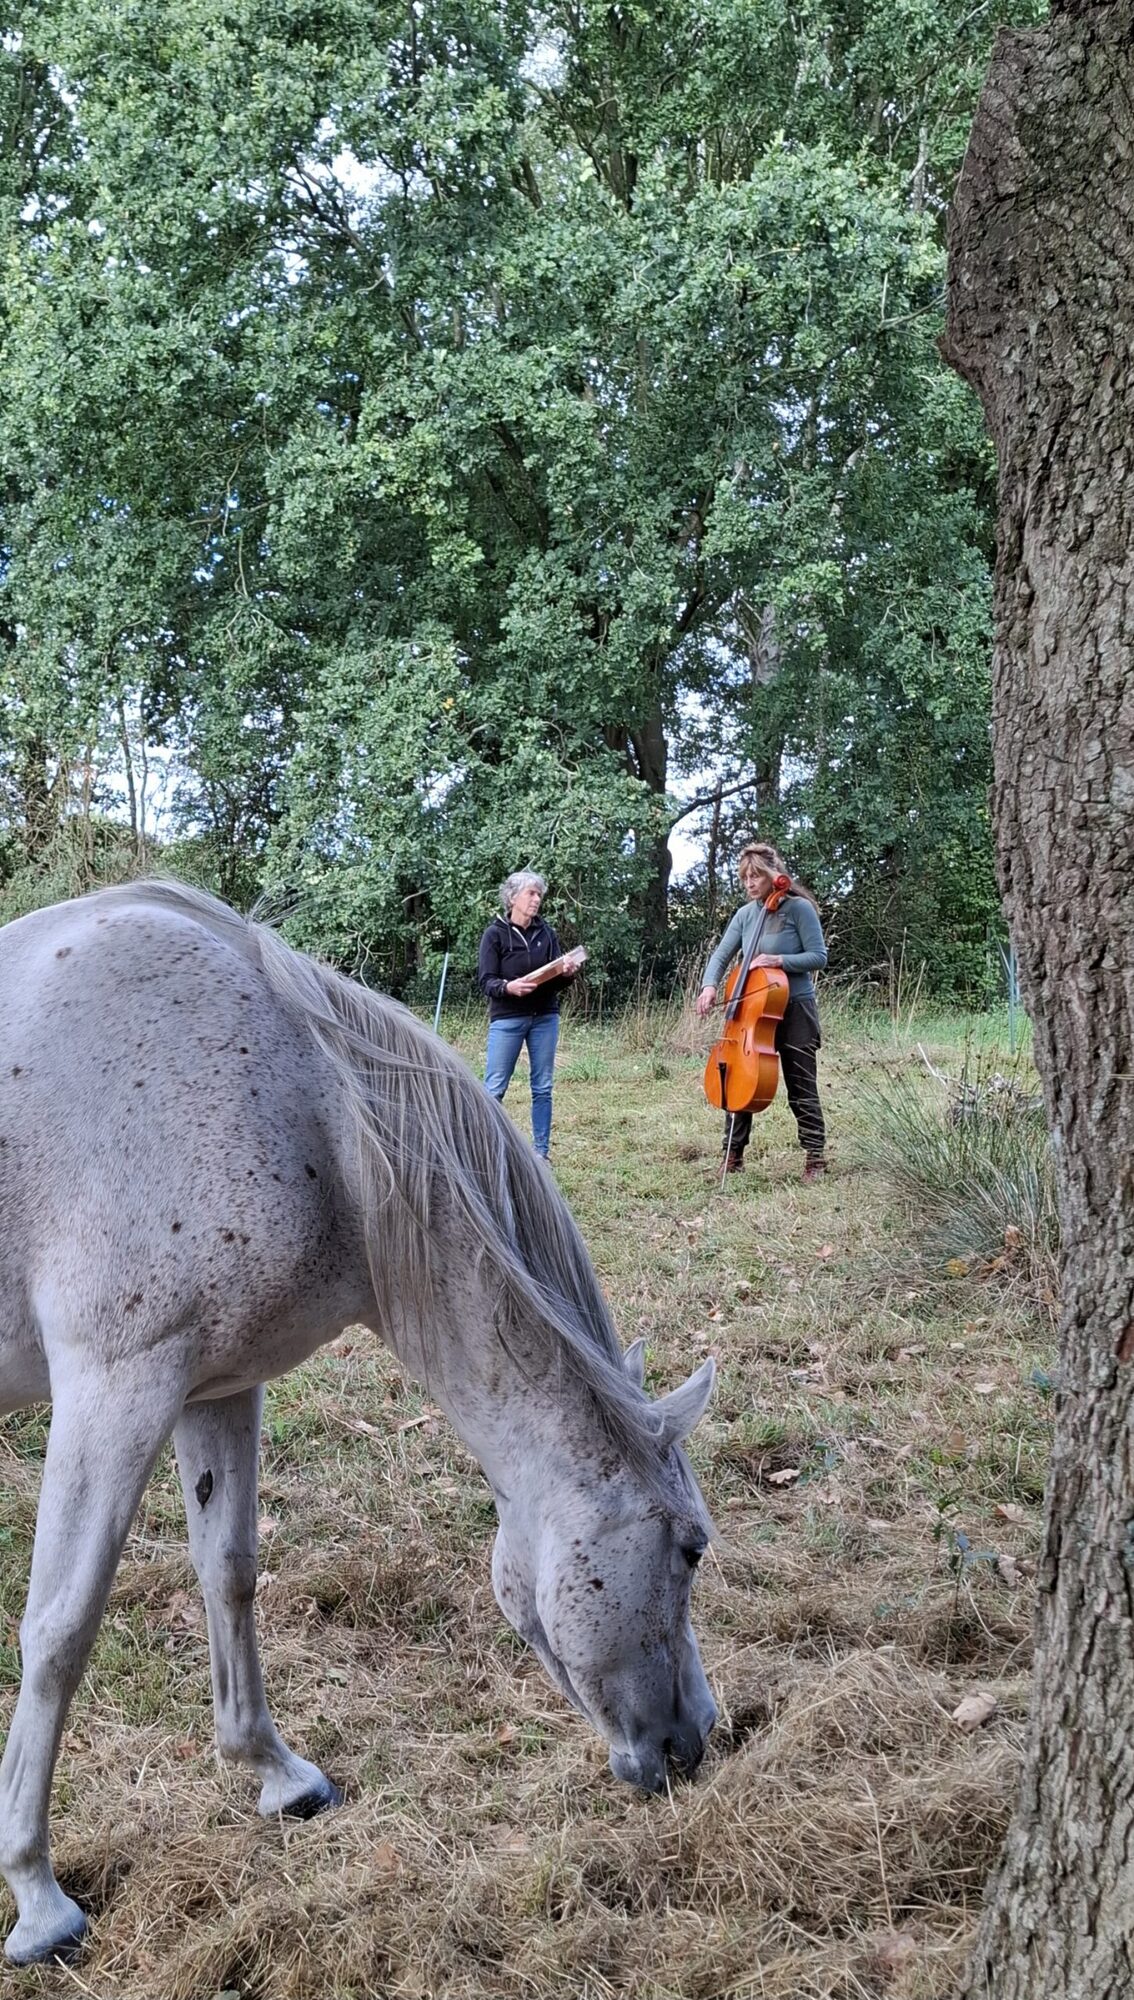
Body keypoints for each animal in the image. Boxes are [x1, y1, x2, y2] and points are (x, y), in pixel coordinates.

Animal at [0, 880, 717, 1966]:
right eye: (690, 1546)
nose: (698, 1743)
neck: (309, 1106)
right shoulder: (116, 1387)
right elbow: (58, 1629)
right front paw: (37, 1893)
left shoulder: (217, 1388)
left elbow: (230, 1573)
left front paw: (275, 1772)